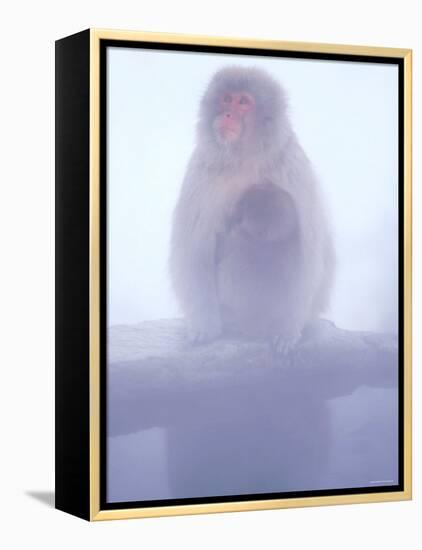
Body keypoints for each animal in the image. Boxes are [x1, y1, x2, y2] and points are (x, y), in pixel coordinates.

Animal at [170, 68, 334, 354]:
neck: (244, 158)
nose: (227, 114)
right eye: (226, 99)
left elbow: (311, 254)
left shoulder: (293, 168)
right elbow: (193, 251)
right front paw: (204, 327)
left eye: (243, 102)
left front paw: (287, 332)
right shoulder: (202, 171)